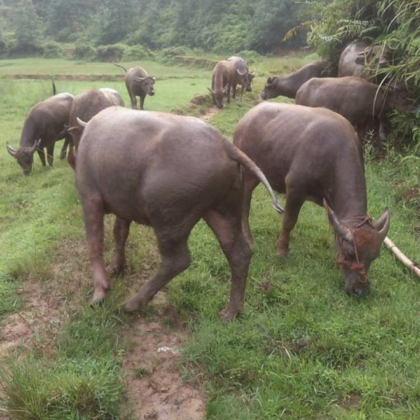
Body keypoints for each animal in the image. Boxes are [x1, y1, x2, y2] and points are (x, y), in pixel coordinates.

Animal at [76, 106, 284, 320]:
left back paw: (133, 304)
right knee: (239, 253)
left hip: (168, 215)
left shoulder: (89, 197)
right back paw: (230, 313)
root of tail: (225, 145)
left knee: (178, 260)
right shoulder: (123, 208)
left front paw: (98, 295)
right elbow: (119, 233)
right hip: (222, 210)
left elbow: (94, 242)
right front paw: (116, 268)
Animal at [233, 102, 390, 296]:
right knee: (244, 205)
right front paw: (281, 250)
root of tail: (246, 118)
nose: (359, 290)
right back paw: (248, 238)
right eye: (350, 253)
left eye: (374, 256)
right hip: (247, 173)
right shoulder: (295, 188)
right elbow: (289, 221)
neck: (332, 155)